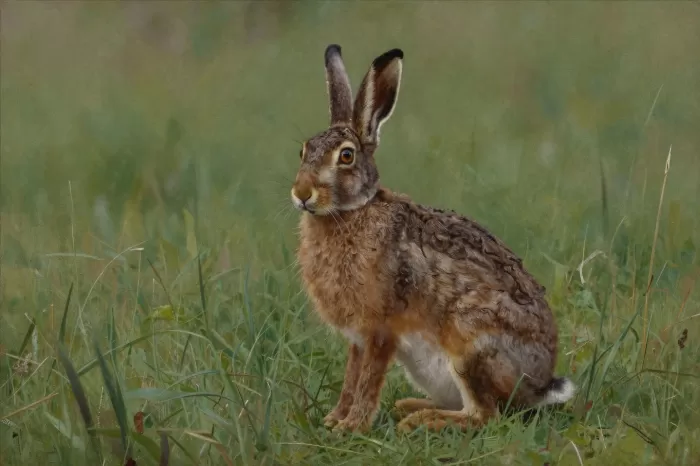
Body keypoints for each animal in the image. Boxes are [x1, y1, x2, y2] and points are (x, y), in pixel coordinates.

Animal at [291, 44, 576, 433]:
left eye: (346, 156)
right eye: (303, 151)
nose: (301, 194)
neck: (352, 213)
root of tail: (540, 385)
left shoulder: (380, 331)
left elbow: (368, 380)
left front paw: (353, 427)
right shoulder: (358, 339)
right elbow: (352, 376)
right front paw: (334, 420)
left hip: (472, 345)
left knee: (483, 416)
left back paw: (420, 420)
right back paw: (409, 406)